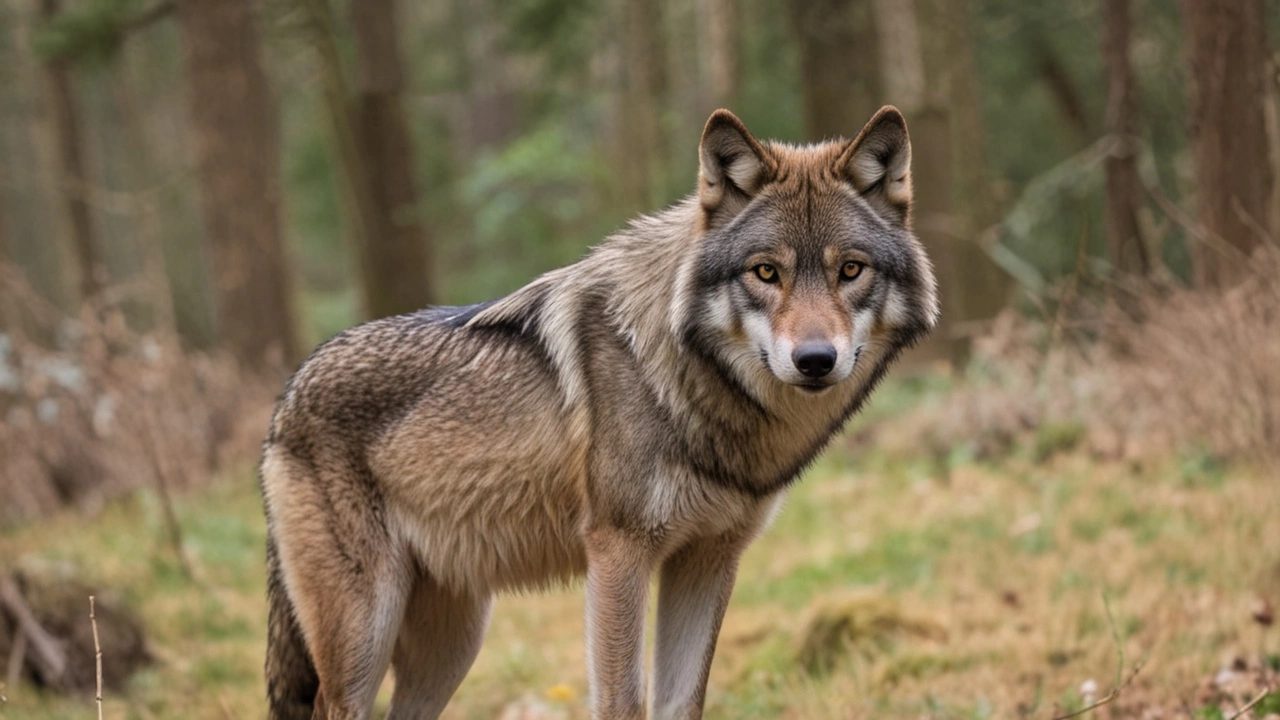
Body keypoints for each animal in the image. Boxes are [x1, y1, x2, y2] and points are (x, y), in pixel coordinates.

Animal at [259, 106, 942, 717]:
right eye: (766, 272)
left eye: (850, 269)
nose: (816, 360)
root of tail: (285, 399)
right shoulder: (618, 553)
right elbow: (622, 702)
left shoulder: (709, 558)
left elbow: (682, 702)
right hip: (365, 639)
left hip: (453, 644)